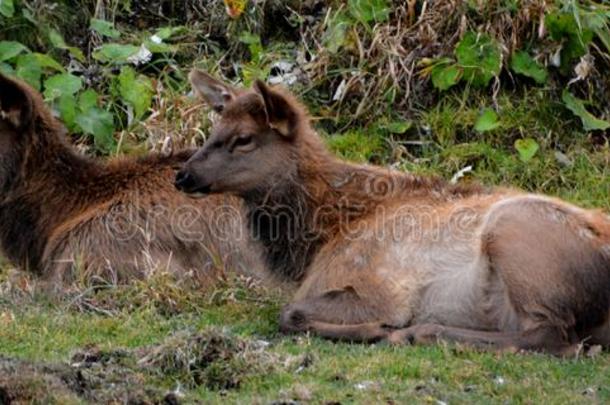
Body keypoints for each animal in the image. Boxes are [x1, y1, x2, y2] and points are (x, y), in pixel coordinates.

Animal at [175, 69, 608, 354]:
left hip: (514, 231)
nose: (183, 174)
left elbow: (289, 313)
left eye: (244, 138)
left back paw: (423, 332)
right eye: (214, 130)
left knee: (554, 337)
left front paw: (379, 329)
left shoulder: (377, 289)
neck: (320, 237)